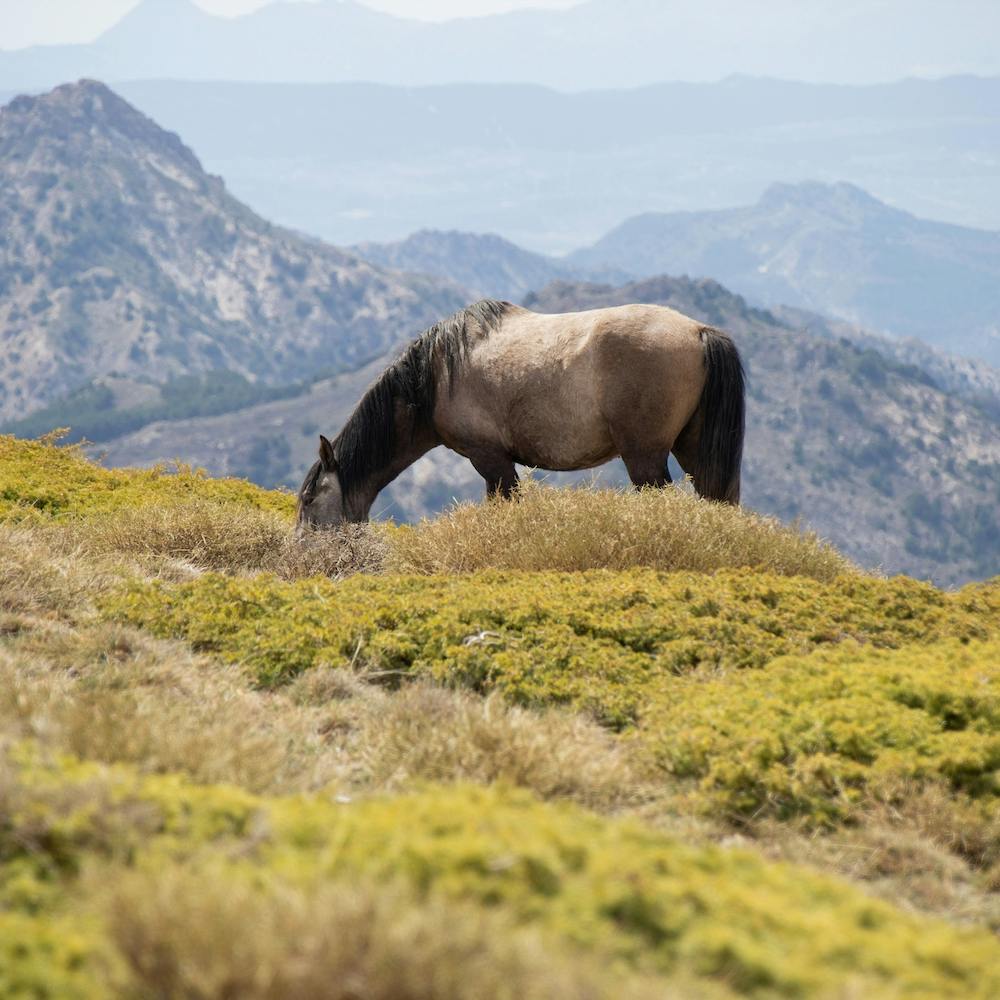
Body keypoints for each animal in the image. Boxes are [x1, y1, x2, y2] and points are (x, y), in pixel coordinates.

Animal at [296, 299, 744, 530]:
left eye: (308, 499)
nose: (305, 560)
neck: (435, 377)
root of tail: (700, 331)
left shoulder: (491, 460)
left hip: (645, 458)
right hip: (690, 450)